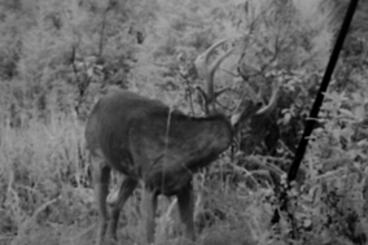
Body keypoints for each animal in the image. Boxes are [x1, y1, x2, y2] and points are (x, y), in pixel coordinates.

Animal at [85, 37, 280, 244]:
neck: (183, 156)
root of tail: (97, 105)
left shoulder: (185, 185)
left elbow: (189, 235)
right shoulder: (150, 182)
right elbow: (147, 236)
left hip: (130, 173)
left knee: (113, 200)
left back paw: (113, 237)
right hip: (96, 156)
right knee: (102, 212)